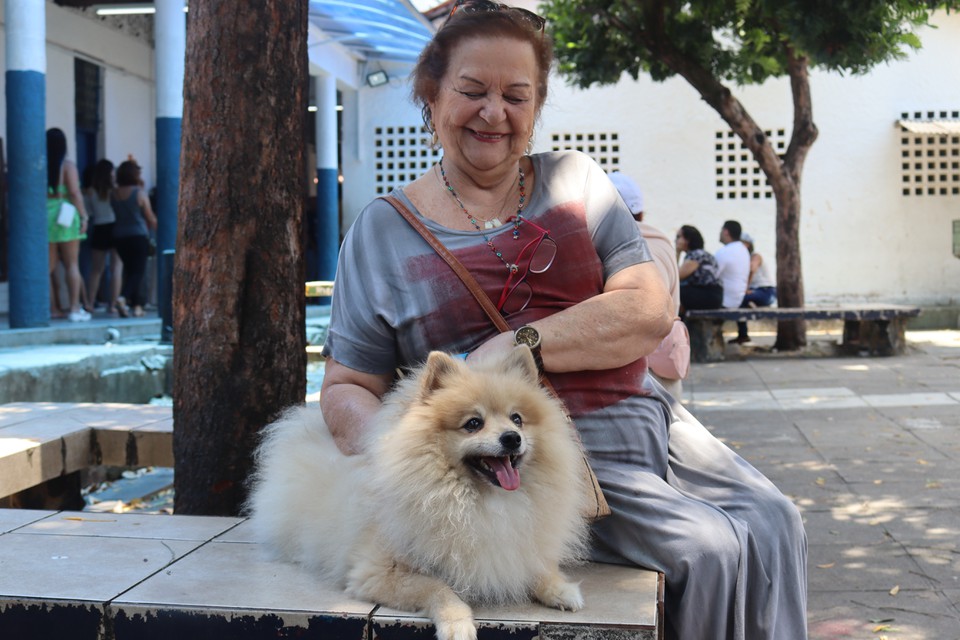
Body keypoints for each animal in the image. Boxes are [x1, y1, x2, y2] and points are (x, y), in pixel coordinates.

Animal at [246, 348, 592, 640]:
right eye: (473, 424)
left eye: (517, 418)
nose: (511, 438)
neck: (479, 501)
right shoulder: (378, 572)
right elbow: (437, 587)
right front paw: (457, 623)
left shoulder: (515, 544)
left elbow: (534, 564)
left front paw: (560, 588)